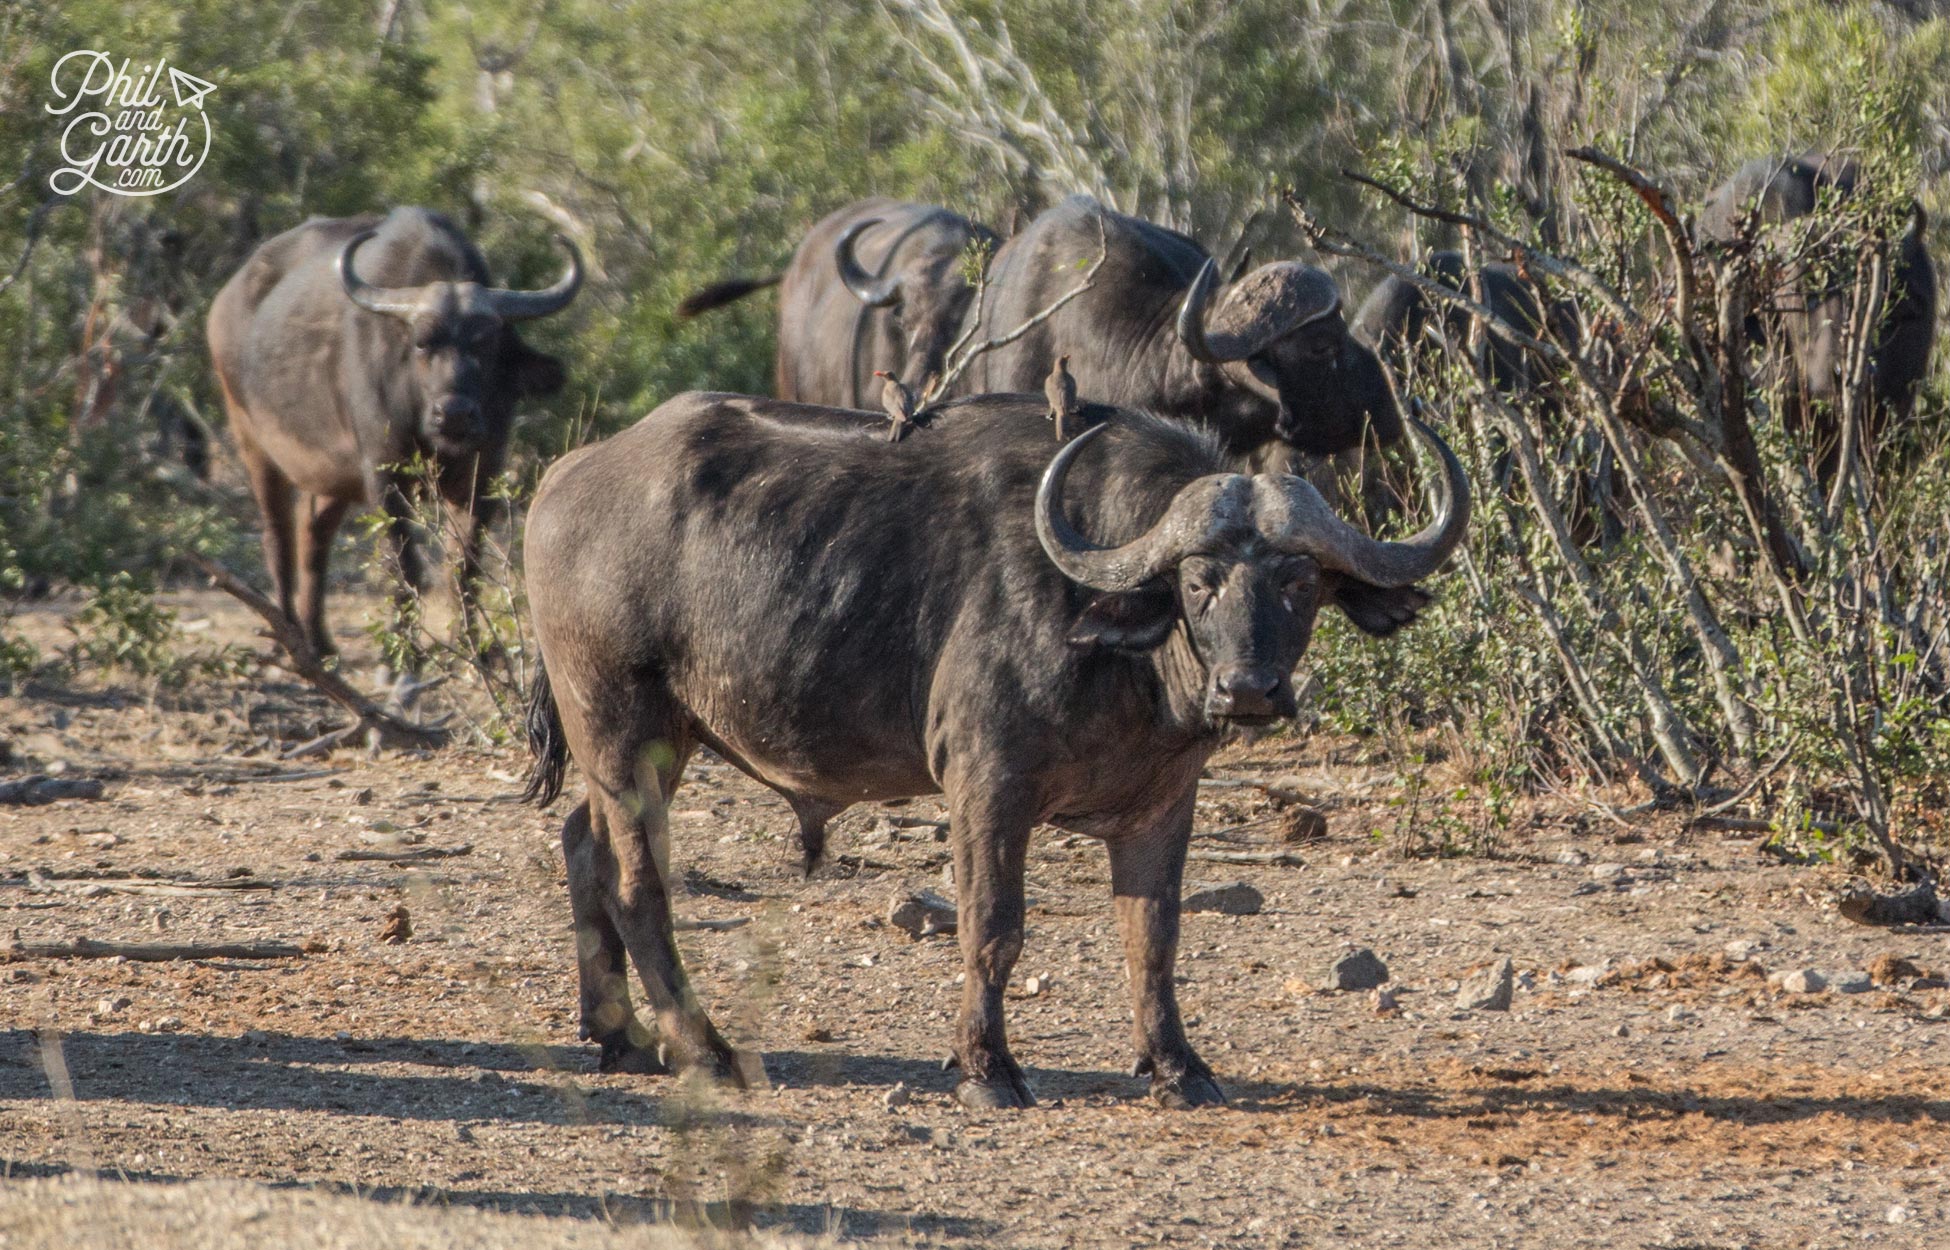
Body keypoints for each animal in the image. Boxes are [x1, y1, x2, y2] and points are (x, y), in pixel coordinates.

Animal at [212, 206, 581, 655]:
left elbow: (465, 569)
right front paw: (403, 656)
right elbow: (404, 570)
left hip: (332, 475)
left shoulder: (482, 475)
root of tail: (228, 297)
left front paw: (469, 647)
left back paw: (320, 642)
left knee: (312, 533)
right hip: (253, 442)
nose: (454, 415)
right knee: (277, 536)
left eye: (487, 343)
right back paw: (289, 638)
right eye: (422, 342)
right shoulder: (385, 475)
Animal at [518, 393, 1466, 1107]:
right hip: (623, 729)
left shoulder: (1164, 802)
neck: (1110, 639)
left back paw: (620, 1037)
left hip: (656, 744)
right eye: (1199, 580)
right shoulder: (986, 787)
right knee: (637, 884)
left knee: (582, 845)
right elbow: (992, 929)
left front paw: (1176, 1066)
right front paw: (987, 1068)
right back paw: (704, 1050)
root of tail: (566, 477)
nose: (1249, 688)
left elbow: (1154, 937)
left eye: (1300, 582)